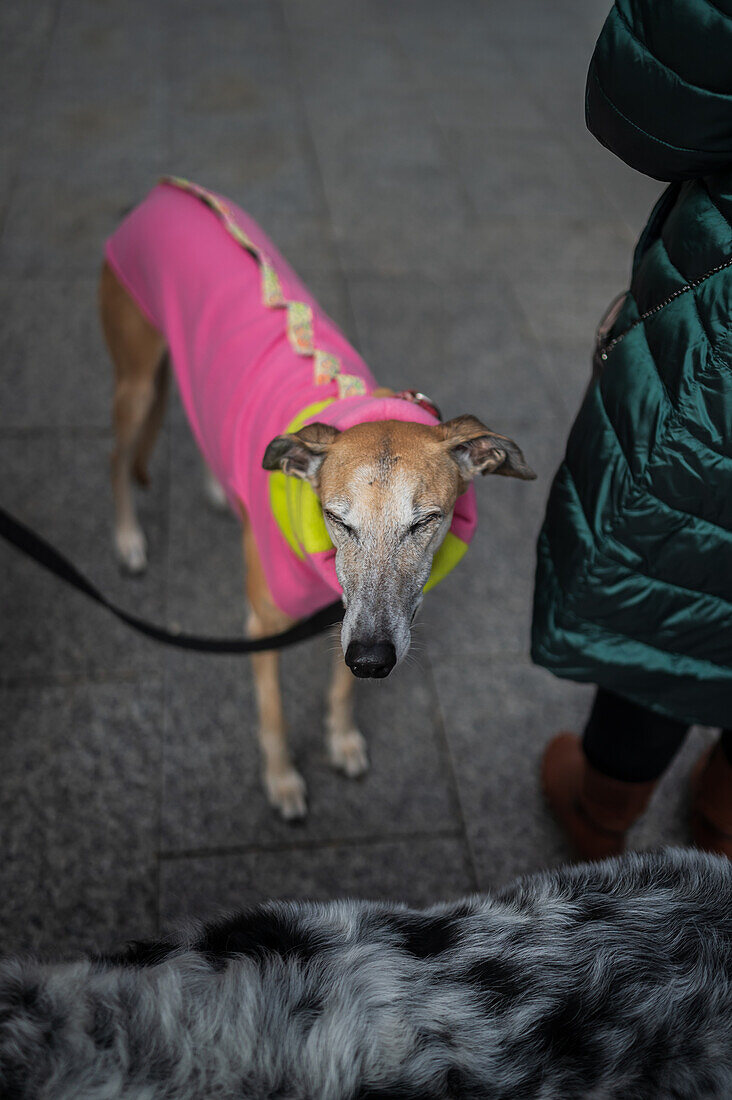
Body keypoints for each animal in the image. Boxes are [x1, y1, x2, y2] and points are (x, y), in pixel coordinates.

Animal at [102, 182, 534, 818]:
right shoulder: (263, 625)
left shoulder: (349, 616)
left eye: (426, 521)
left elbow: (340, 685)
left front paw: (343, 739)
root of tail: (162, 192)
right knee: (117, 458)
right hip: (133, 378)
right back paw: (129, 538)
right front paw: (282, 780)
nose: (373, 662)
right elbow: (274, 716)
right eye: (337, 519)